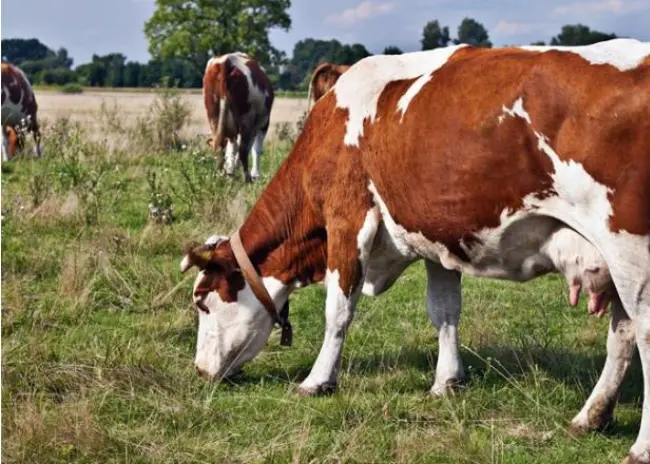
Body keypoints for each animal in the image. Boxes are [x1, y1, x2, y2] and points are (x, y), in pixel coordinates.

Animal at [202, 52, 274, 183]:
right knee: (243, 150)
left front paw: (231, 170)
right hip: (247, 119)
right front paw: (255, 174)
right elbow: (256, 149)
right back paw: (247, 178)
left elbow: (232, 150)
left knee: (222, 147)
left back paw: (222, 176)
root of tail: (226, 61)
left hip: (214, 117)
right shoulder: (263, 123)